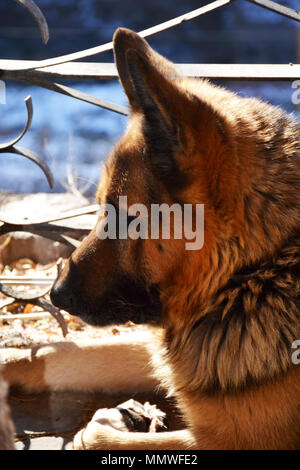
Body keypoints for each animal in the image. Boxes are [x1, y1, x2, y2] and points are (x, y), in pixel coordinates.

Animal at [2, 28, 300, 448]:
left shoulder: (227, 439)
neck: (255, 271)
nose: (56, 294)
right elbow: (63, 351)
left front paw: (111, 425)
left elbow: (100, 435)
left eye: (128, 219)